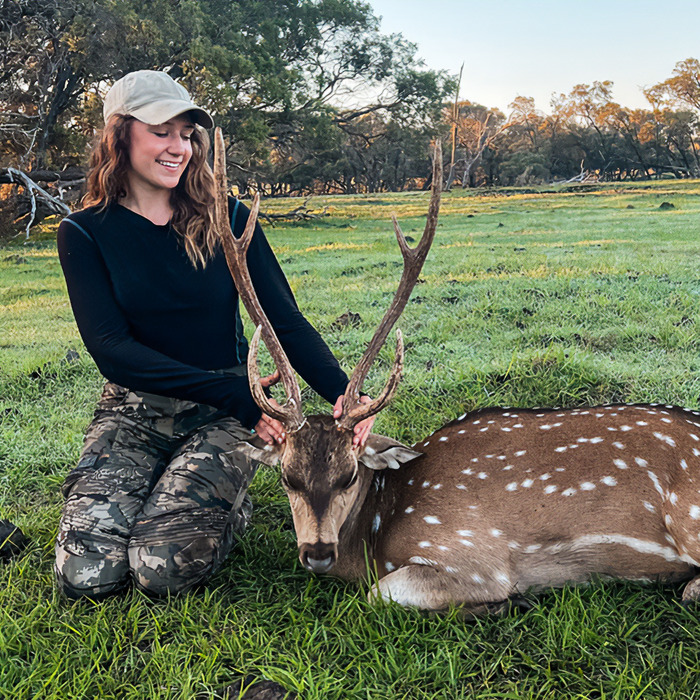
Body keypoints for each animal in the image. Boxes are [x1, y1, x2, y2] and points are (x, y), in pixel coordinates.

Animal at [212, 129, 700, 615]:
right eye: (286, 477)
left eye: (348, 475)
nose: (317, 553)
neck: (378, 533)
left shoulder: (472, 555)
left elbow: (379, 593)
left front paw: (503, 602)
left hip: (688, 517)